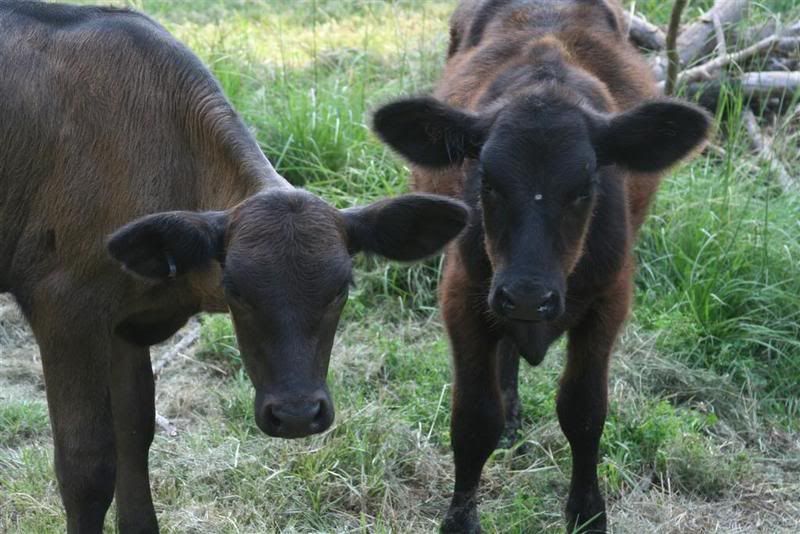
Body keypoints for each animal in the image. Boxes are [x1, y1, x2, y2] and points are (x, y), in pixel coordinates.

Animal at [0, 2, 468, 533]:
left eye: (342, 288)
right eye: (236, 289)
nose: (297, 414)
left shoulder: (126, 324)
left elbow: (135, 439)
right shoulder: (66, 311)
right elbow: (86, 466)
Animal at [372, 0, 711, 532]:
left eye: (585, 187)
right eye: (486, 181)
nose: (529, 295)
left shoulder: (610, 299)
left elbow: (584, 410)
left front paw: (587, 513)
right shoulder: (463, 293)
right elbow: (473, 418)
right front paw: (461, 518)